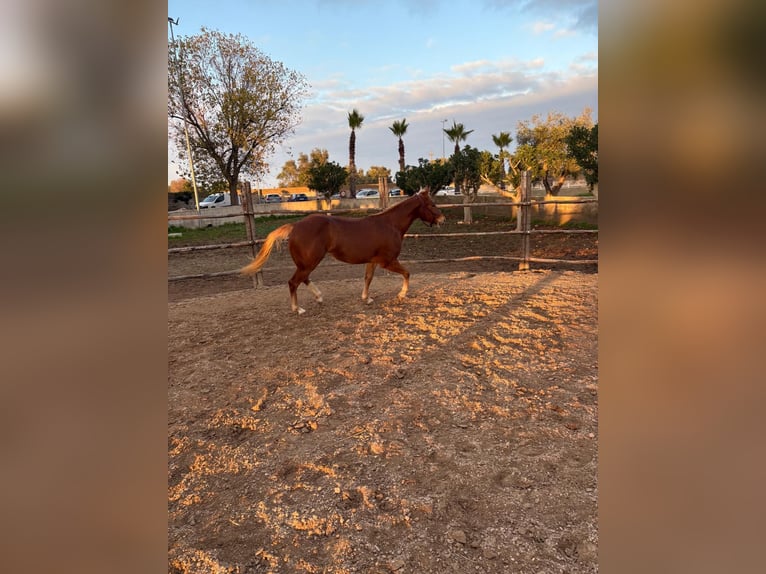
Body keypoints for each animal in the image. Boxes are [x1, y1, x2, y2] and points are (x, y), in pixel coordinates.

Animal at [240, 189, 445, 314]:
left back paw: (319, 297)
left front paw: (366, 298)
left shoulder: (372, 260)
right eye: (432, 204)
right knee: (293, 282)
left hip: (306, 263)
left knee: (303, 279)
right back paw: (298, 309)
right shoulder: (387, 261)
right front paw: (402, 294)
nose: (442, 219)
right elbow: (407, 273)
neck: (390, 225)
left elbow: (368, 278)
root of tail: (295, 226)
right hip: (310, 262)